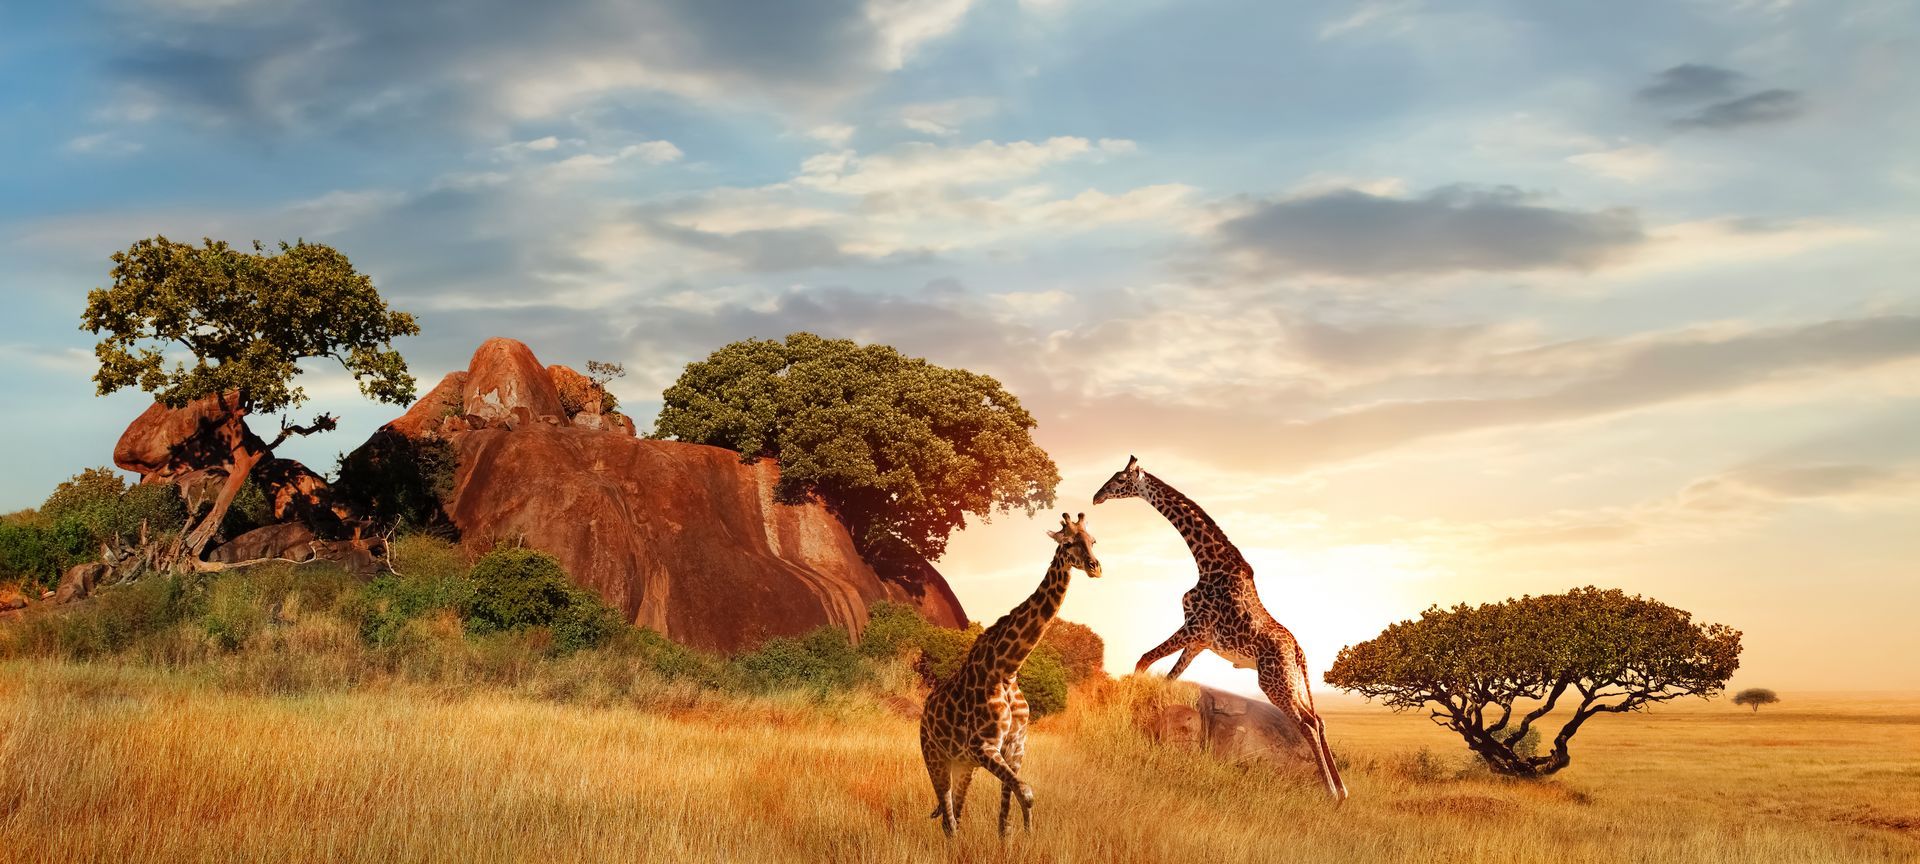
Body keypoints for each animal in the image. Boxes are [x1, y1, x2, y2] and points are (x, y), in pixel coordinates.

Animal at [919, 513, 1102, 838]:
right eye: (1068, 542)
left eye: (1093, 540)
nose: (1095, 567)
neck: (1006, 669)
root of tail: (924, 712)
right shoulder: (983, 745)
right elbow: (1026, 792)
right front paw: (1028, 835)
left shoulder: (1015, 747)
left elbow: (1009, 808)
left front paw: (1019, 838)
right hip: (936, 757)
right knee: (948, 817)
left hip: (964, 765)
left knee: (956, 814)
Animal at [1093, 456, 1349, 803]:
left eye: (1120, 480)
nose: (1097, 497)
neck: (1208, 562)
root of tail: (1298, 652)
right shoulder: (1200, 641)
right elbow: (1168, 676)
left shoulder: (1194, 626)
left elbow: (1144, 659)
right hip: (1292, 681)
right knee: (1318, 720)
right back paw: (1342, 789)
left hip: (1273, 681)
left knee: (1306, 724)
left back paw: (1331, 792)